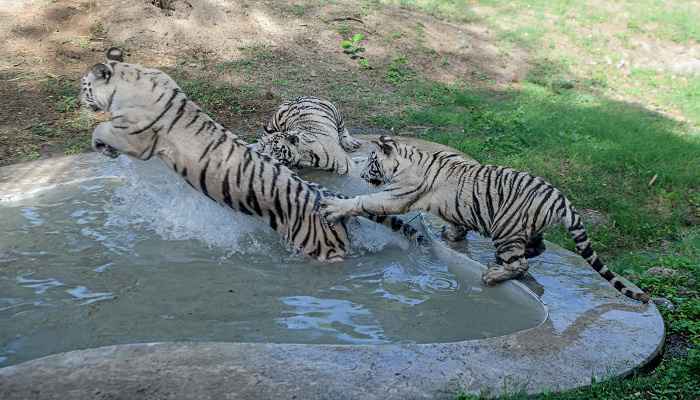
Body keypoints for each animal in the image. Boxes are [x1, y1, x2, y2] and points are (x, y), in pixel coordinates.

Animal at [82, 49, 422, 262]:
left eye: (84, 85)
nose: (78, 96)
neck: (133, 78)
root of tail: (325, 198)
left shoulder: (136, 138)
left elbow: (101, 130)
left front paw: (102, 145)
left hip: (320, 247)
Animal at [322, 136, 652, 302]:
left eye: (372, 162)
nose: (364, 175)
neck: (406, 161)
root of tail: (561, 199)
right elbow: (457, 224)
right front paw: (450, 236)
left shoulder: (395, 196)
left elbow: (363, 202)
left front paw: (334, 207)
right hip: (527, 229)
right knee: (537, 249)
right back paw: (497, 261)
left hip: (506, 228)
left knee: (520, 264)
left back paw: (493, 274)